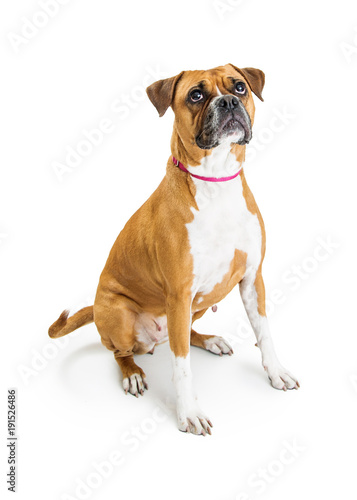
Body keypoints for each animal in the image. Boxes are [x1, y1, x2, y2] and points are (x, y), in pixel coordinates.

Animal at [48, 64, 298, 436]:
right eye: (196, 95)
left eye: (240, 87)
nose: (228, 102)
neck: (216, 182)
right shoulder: (179, 294)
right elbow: (182, 367)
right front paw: (188, 413)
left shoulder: (253, 279)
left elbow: (264, 333)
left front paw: (276, 372)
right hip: (122, 315)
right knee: (122, 352)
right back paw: (133, 374)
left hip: (195, 307)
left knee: (184, 335)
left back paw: (209, 340)